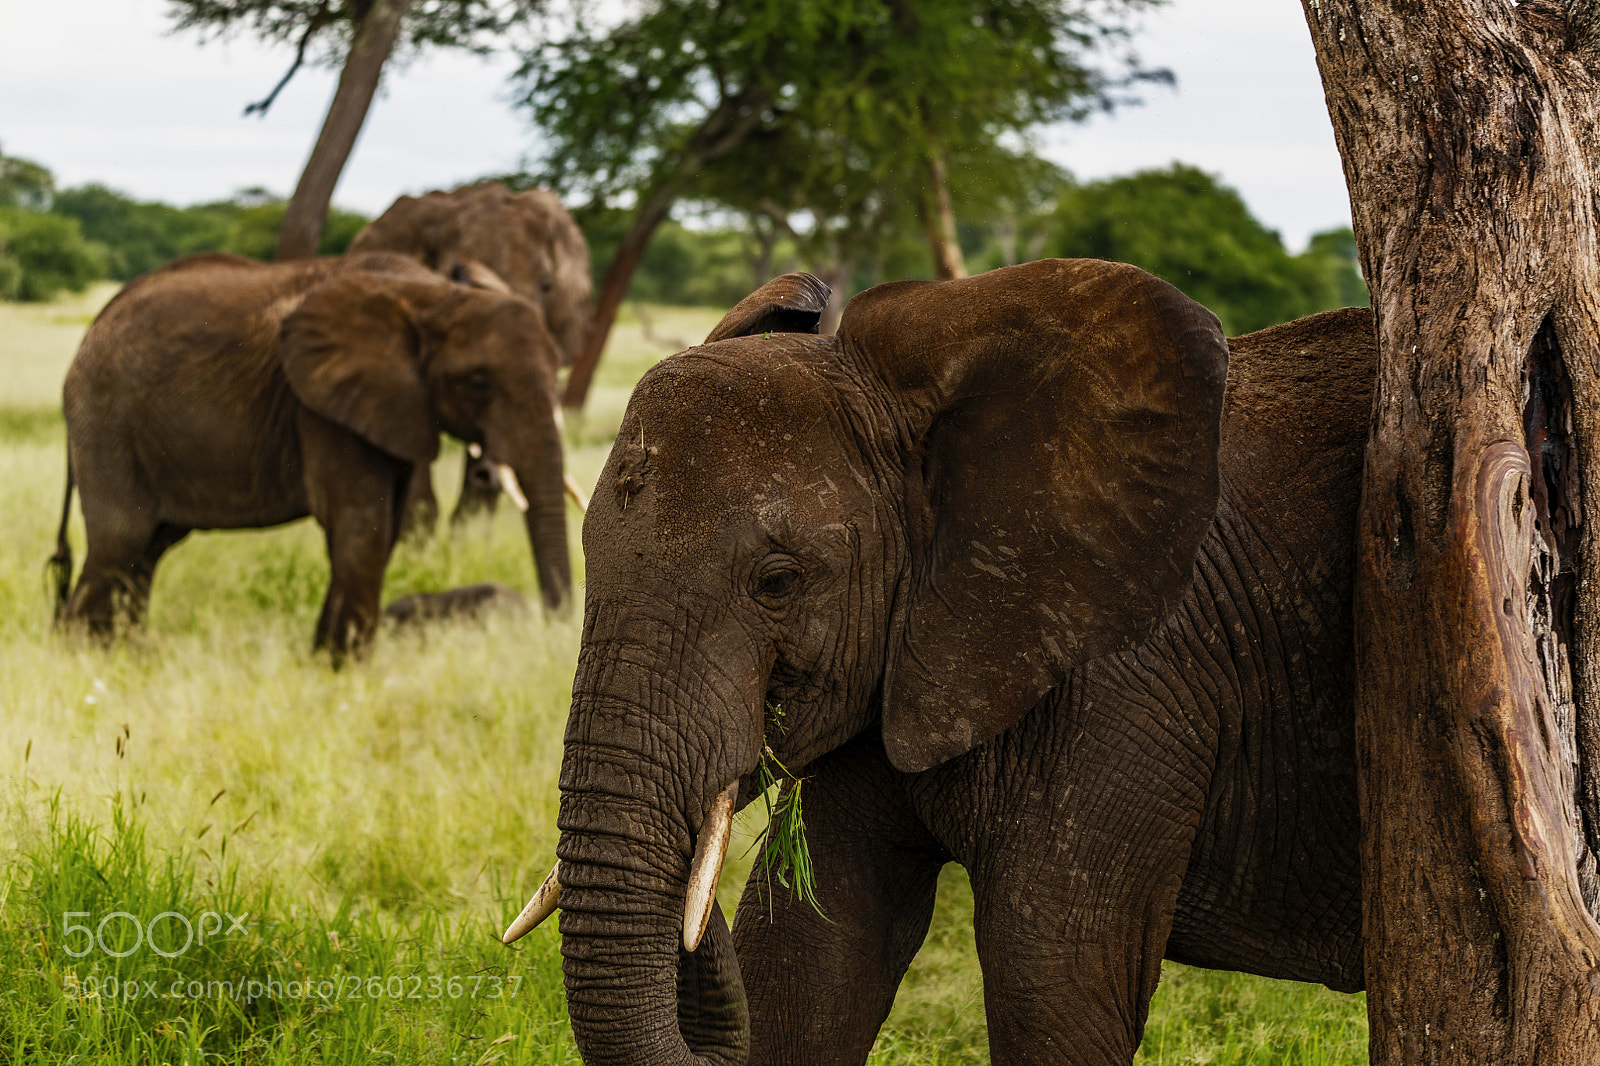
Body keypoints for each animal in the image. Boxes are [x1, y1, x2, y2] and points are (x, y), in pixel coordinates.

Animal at [50, 250, 572, 657]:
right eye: (479, 382)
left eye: (557, 372)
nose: (552, 625)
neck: (433, 295)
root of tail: (95, 323)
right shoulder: (322, 409)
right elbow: (362, 527)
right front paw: (345, 669)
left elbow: (384, 531)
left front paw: (325, 660)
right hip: (107, 418)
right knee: (121, 541)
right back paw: (82, 659)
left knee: (150, 549)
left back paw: (127, 656)